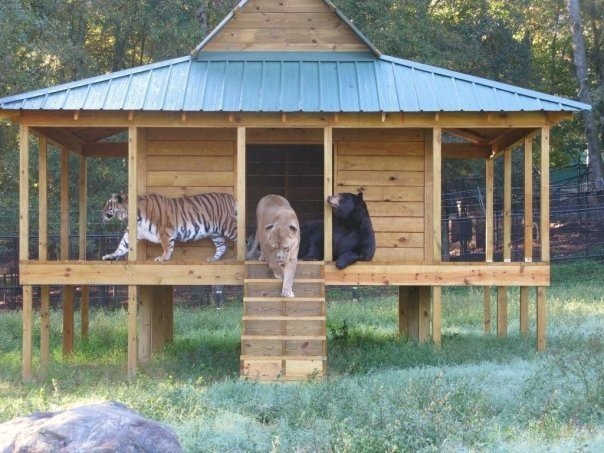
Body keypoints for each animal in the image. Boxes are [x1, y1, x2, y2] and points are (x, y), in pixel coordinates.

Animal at [101, 191, 236, 262]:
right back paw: (213, 259)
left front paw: (163, 258)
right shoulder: (134, 232)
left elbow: (166, 245)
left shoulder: (164, 229)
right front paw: (110, 256)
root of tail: (231, 197)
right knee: (222, 246)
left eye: (108, 205)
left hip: (228, 225)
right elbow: (122, 245)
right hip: (215, 232)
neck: (135, 216)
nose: (101, 211)